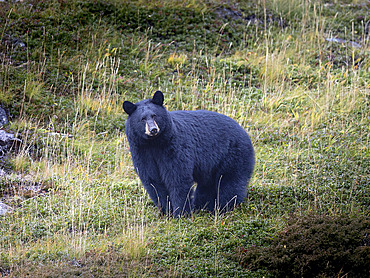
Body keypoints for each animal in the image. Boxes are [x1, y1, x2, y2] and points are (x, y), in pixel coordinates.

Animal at [123, 91, 254, 217]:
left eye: (155, 115)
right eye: (142, 119)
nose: (153, 130)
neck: (154, 143)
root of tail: (244, 132)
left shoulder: (174, 148)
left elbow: (178, 178)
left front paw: (181, 213)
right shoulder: (142, 152)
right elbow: (153, 181)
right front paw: (167, 211)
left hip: (233, 155)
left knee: (230, 184)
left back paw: (222, 207)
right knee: (208, 186)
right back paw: (203, 206)